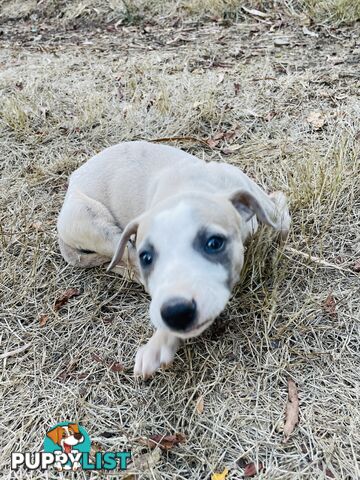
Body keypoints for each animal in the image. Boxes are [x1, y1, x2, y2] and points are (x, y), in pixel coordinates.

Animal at [58, 141, 290, 376]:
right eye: (147, 257)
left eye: (214, 243)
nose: (176, 312)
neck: (189, 187)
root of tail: (70, 187)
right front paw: (158, 344)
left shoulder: (265, 201)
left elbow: (280, 218)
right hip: (98, 224)